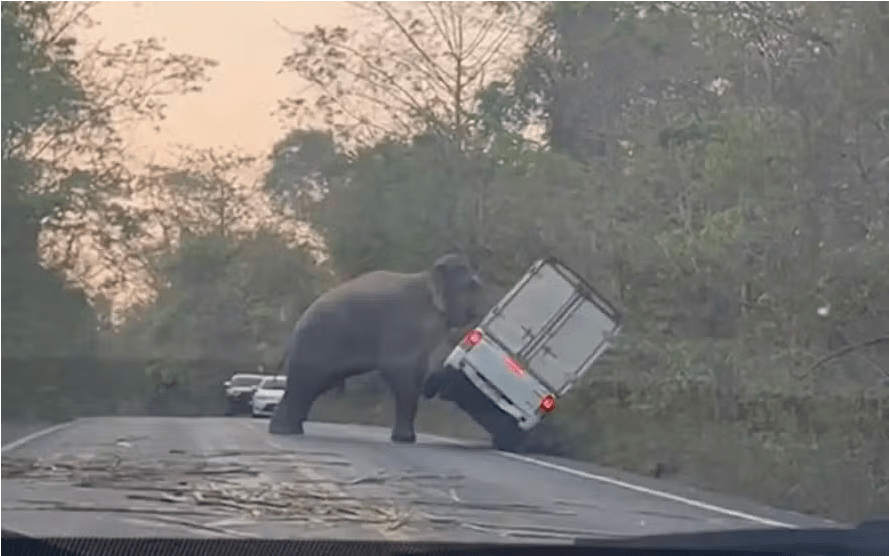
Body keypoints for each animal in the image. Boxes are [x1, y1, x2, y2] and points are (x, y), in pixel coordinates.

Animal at [269, 253, 485, 443]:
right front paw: (405, 439)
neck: (427, 277)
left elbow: (418, 369)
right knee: (306, 384)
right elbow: (398, 369)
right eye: (471, 286)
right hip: (315, 344)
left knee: (313, 387)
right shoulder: (402, 324)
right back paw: (284, 431)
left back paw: (289, 430)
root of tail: (295, 328)